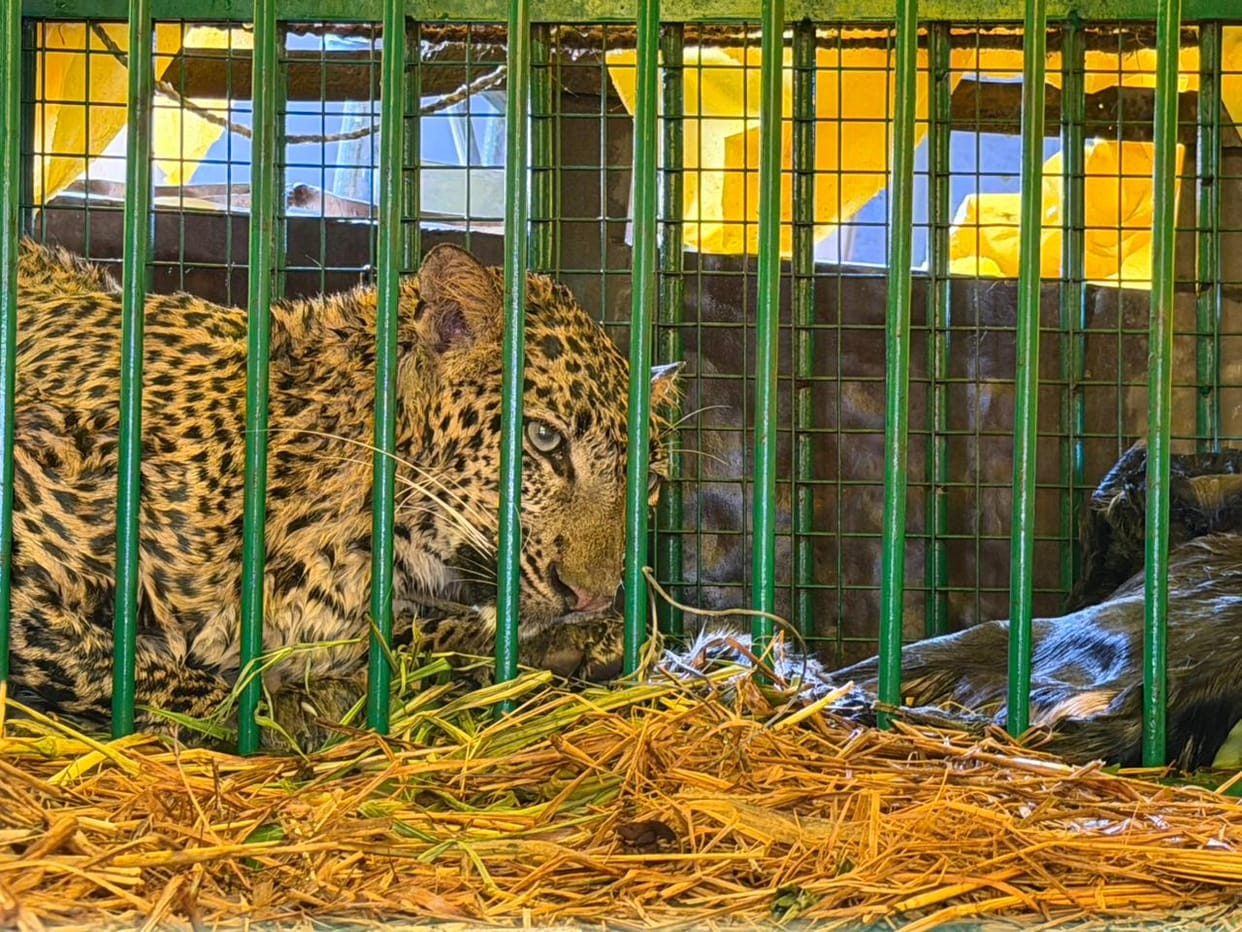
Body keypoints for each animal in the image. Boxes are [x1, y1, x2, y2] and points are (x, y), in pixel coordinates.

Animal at [6, 238, 676, 744]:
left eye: (648, 484)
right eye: (543, 438)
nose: (591, 598)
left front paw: (578, 643)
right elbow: (117, 668)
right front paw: (283, 714)